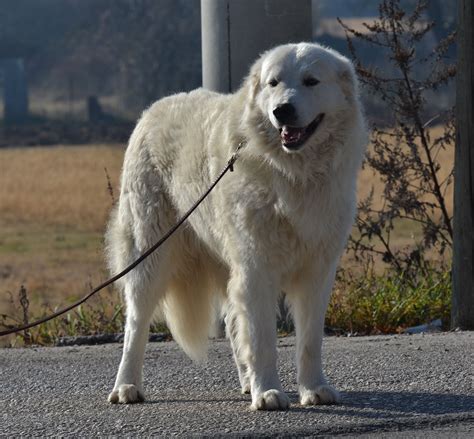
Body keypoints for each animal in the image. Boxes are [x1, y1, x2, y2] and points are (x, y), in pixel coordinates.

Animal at [106, 43, 366, 410]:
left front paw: (314, 388)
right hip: (149, 253)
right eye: (273, 83)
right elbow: (262, 339)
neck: (292, 173)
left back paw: (246, 382)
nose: (282, 110)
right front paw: (268, 392)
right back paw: (126, 386)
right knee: (136, 324)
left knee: (230, 322)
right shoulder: (256, 267)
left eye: (311, 81)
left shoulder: (316, 273)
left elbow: (309, 341)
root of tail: (154, 109)